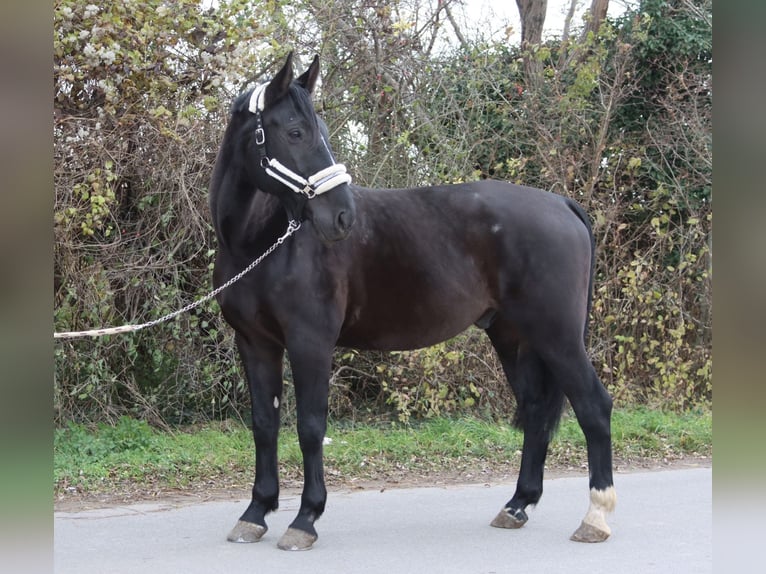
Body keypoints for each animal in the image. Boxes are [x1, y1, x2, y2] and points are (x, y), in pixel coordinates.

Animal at [210, 55, 616, 552]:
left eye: (317, 130)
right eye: (295, 132)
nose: (342, 216)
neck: (262, 243)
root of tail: (561, 204)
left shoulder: (310, 343)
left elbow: (310, 427)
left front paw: (305, 519)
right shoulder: (256, 343)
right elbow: (264, 425)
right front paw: (255, 513)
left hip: (557, 336)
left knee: (594, 406)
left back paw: (595, 517)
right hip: (513, 336)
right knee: (537, 410)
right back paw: (517, 505)